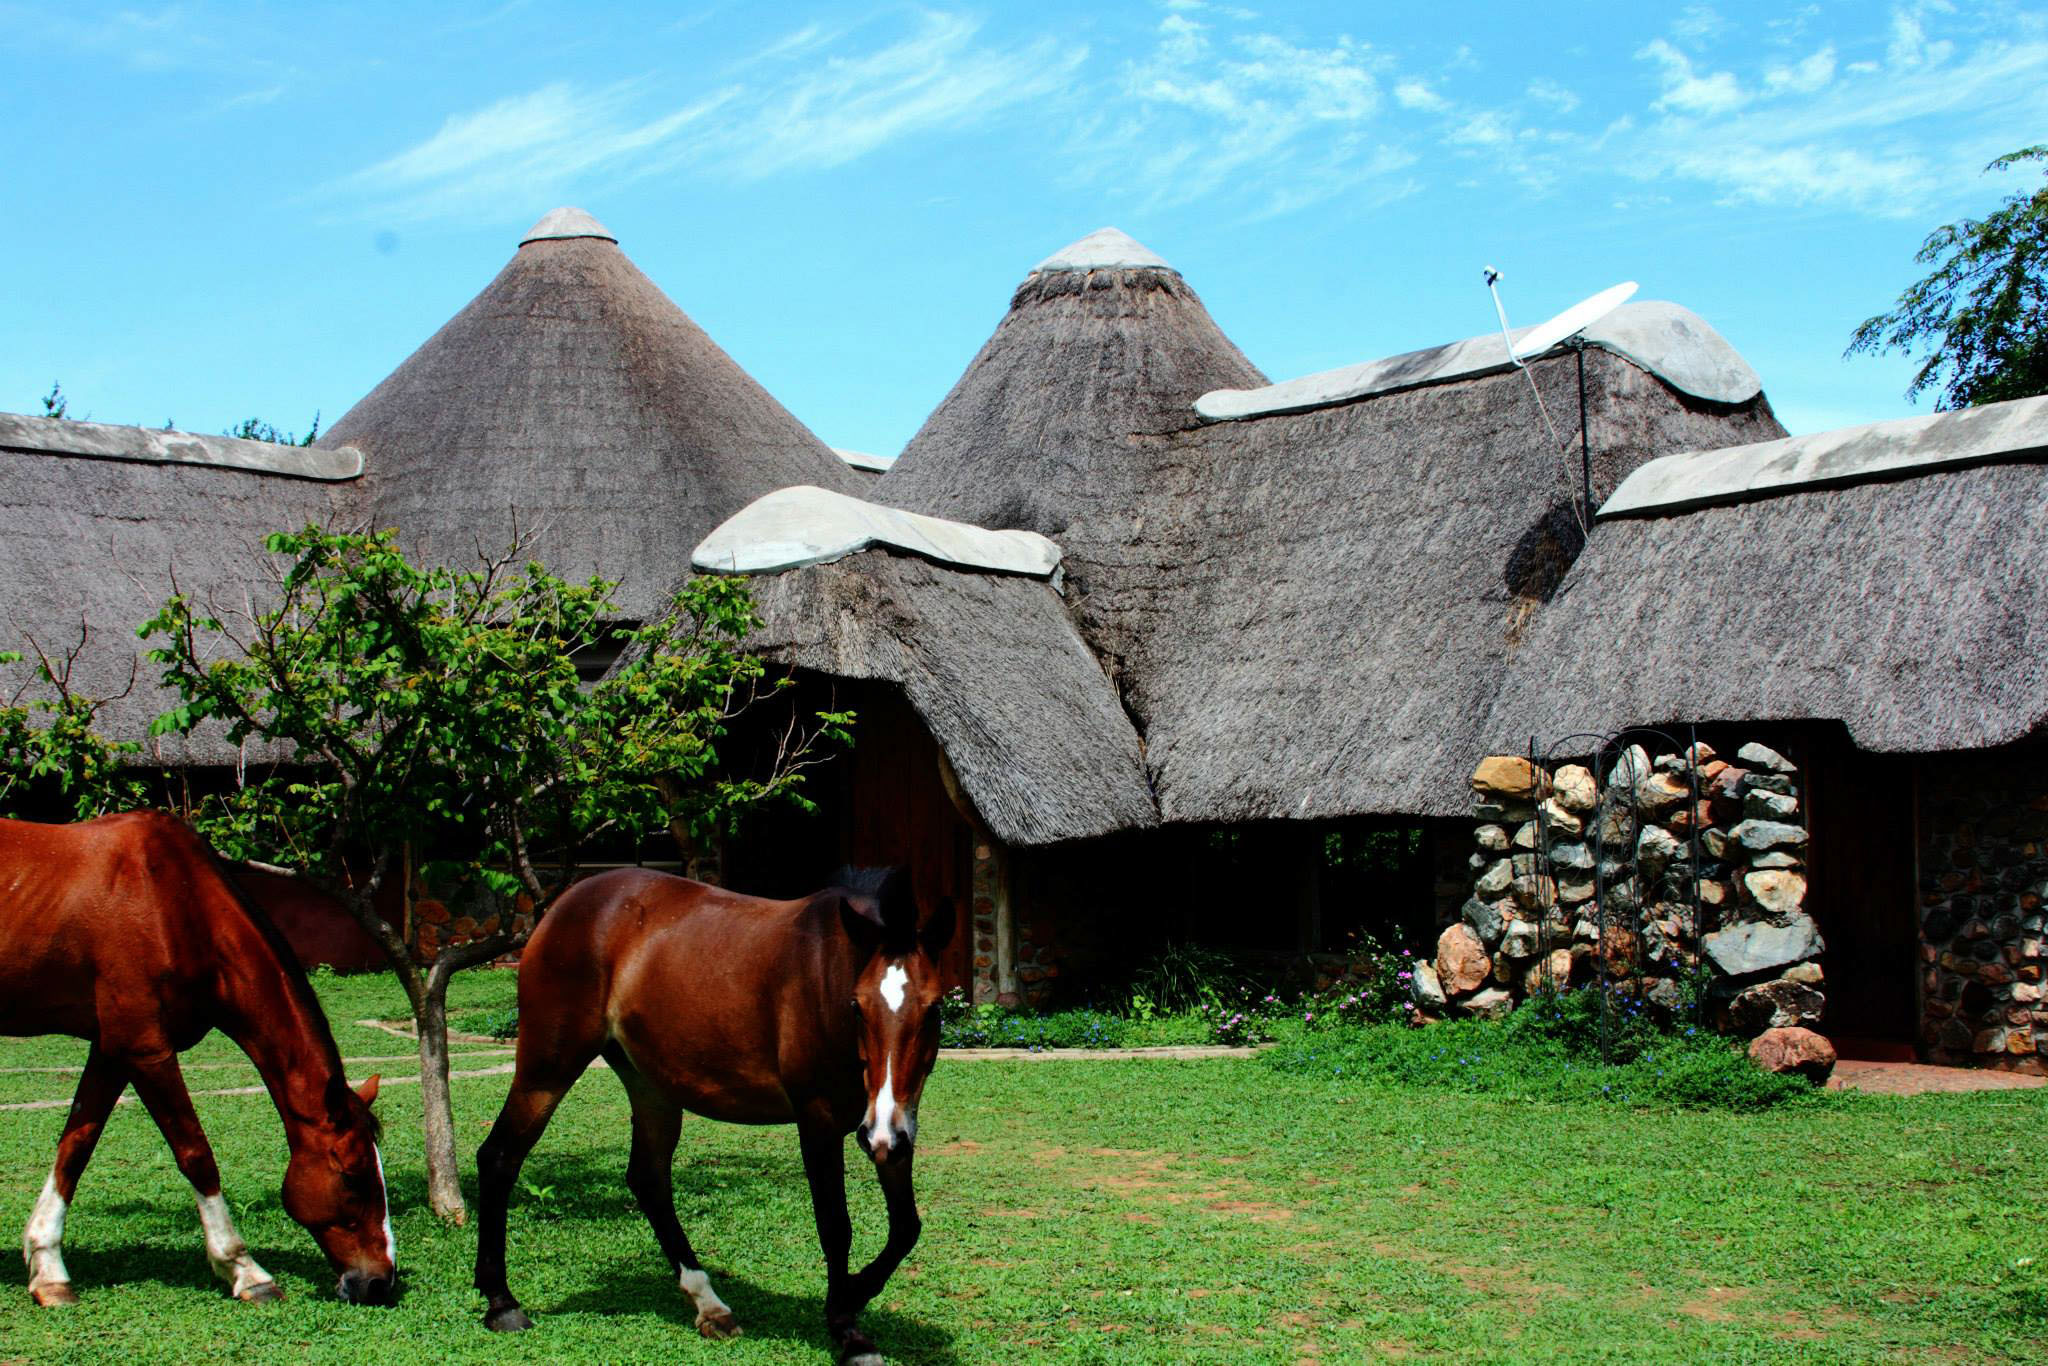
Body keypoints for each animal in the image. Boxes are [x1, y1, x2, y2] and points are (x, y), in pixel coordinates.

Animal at [0, 811, 397, 1307]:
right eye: (352, 1175)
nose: (380, 1281)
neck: (171, 901)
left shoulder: (112, 1049)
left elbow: (75, 1148)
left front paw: (49, 1268)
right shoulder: (146, 1050)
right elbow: (196, 1155)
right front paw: (245, 1270)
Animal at [474, 865, 952, 1365]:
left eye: (934, 1007)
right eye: (857, 1005)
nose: (881, 1136)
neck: (829, 969)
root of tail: (562, 905)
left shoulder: (894, 1127)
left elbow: (906, 1227)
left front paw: (853, 1295)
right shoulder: (820, 1123)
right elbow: (835, 1225)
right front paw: (847, 1329)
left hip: (651, 1086)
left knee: (648, 1179)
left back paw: (709, 1304)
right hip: (547, 1069)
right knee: (500, 1157)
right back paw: (501, 1303)